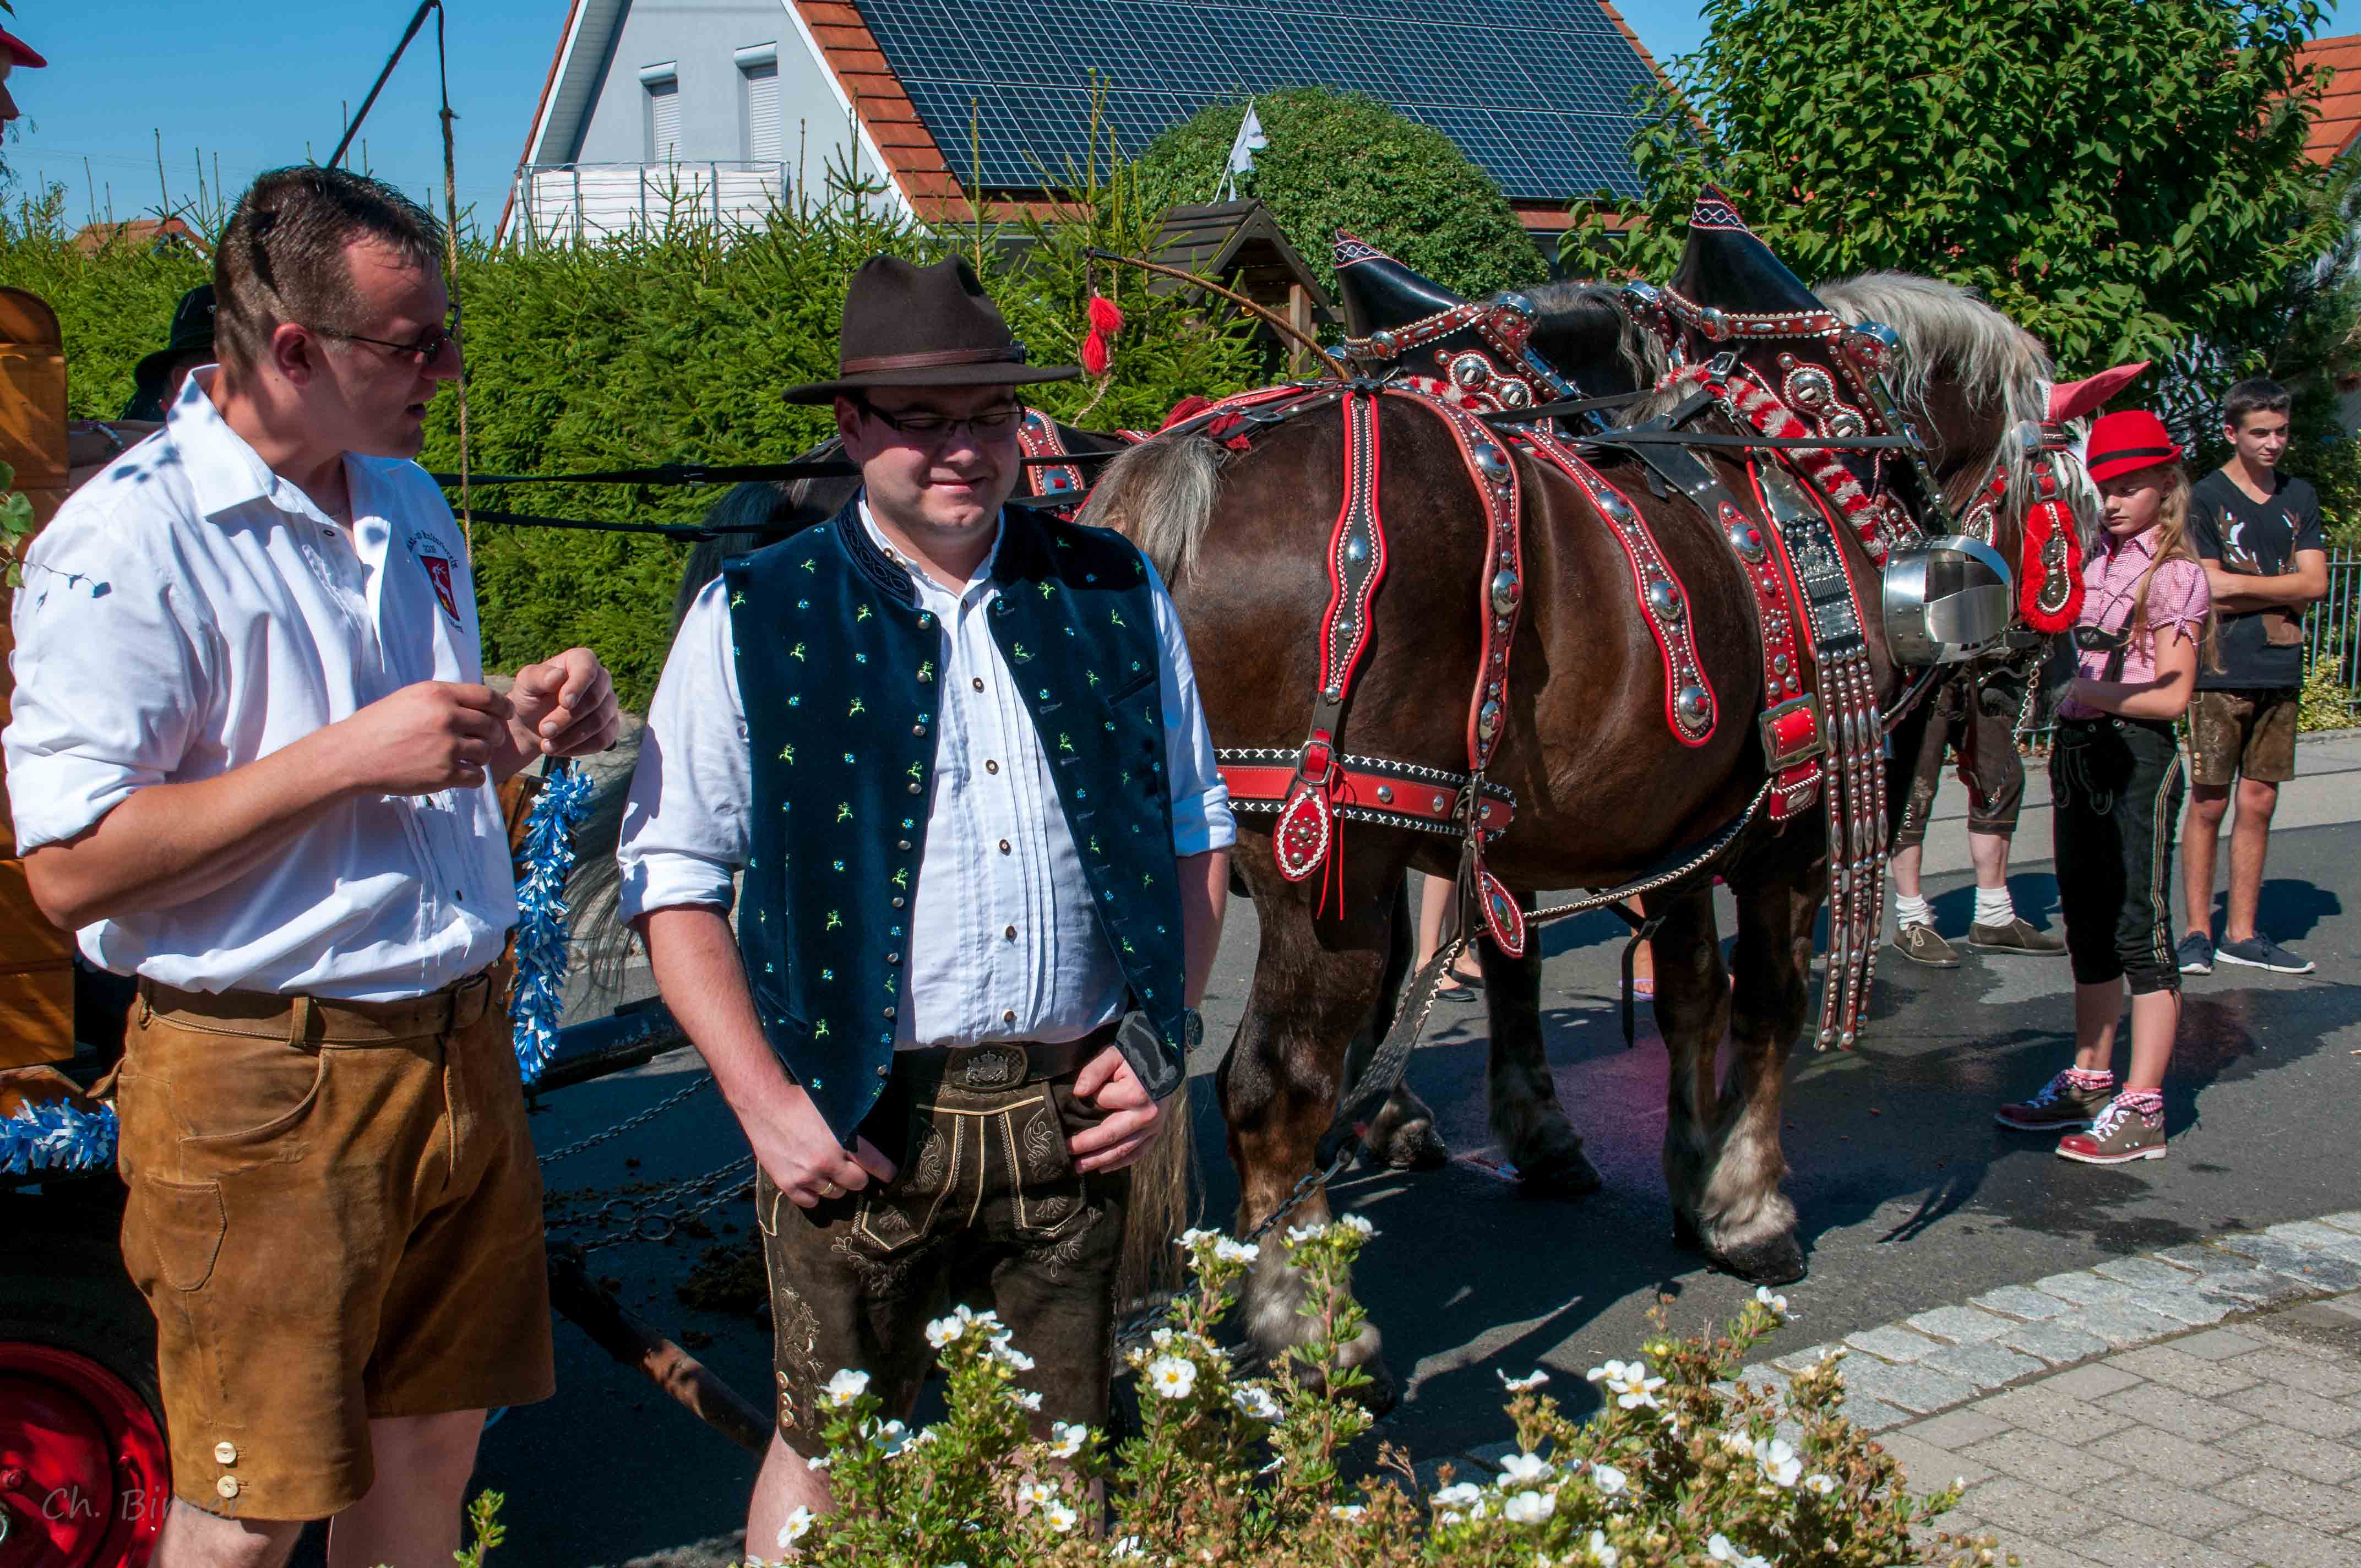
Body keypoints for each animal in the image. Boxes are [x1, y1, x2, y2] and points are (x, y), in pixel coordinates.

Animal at [1073, 198, 2095, 1401]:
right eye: (2061, 493)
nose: (2032, 667)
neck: (1815, 454)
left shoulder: (1676, 820)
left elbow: (1682, 993)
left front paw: (1673, 1170)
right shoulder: (1789, 829)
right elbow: (1768, 1005)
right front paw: (1750, 1206)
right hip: (1328, 861)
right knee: (1272, 1084)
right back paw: (1314, 1329)